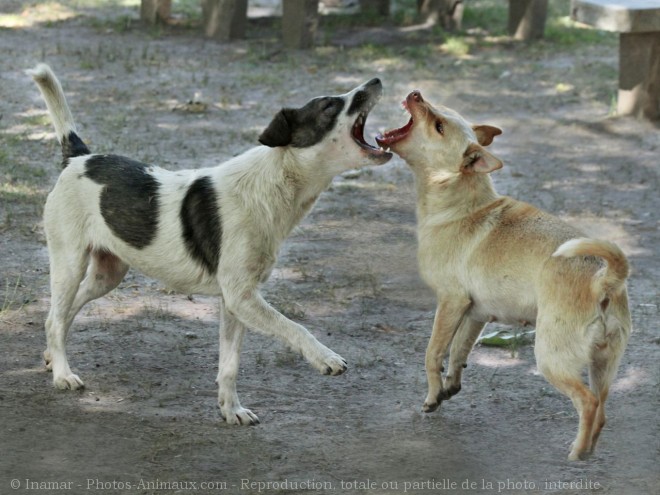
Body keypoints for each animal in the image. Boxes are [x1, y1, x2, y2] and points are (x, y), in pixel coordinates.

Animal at [28, 63, 392, 426]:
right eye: (330, 106)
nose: (377, 79)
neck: (275, 183)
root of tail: (80, 157)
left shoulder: (235, 302)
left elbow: (229, 366)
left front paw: (231, 410)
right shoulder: (241, 297)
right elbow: (294, 327)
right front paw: (325, 358)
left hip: (108, 274)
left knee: (62, 314)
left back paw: (50, 355)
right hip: (69, 263)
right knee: (55, 319)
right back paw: (63, 375)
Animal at [376, 90, 628, 462]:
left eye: (438, 125)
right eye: (439, 111)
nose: (416, 93)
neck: (461, 204)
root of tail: (605, 278)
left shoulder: (449, 303)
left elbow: (433, 353)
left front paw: (432, 397)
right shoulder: (474, 313)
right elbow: (459, 353)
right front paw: (449, 388)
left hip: (551, 358)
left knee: (588, 402)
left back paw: (576, 453)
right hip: (603, 365)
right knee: (603, 409)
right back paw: (589, 449)